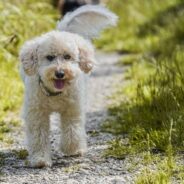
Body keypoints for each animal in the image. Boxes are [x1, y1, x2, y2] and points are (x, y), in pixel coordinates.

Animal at [19, 5, 117, 167]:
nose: (60, 73)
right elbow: (38, 136)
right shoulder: (37, 114)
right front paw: (40, 159)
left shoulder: (72, 109)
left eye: (67, 57)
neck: (55, 93)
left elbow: (72, 130)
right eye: (49, 57)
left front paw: (72, 149)